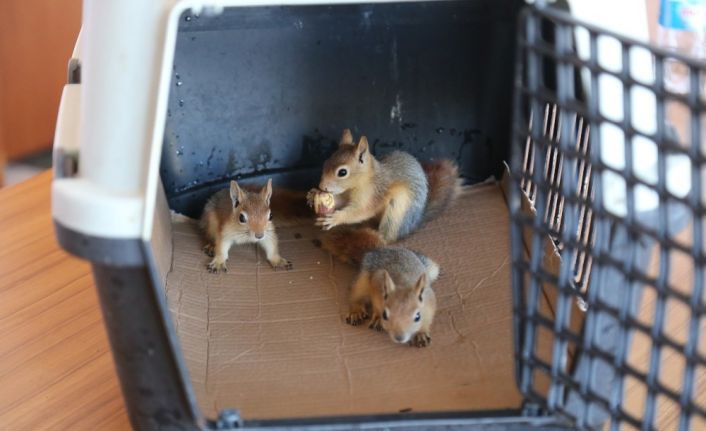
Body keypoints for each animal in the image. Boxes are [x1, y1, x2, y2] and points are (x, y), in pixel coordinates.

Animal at [308, 128, 462, 264]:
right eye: (326, 162)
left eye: (342, 172)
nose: (321, 186)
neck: (361, 182)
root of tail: (414, 223)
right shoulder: (346, 194)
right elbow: (342, 201)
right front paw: (313, 195)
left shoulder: (373, 195)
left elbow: (360, 211)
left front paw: (336, 218)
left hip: (395, 214)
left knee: (388, 239)